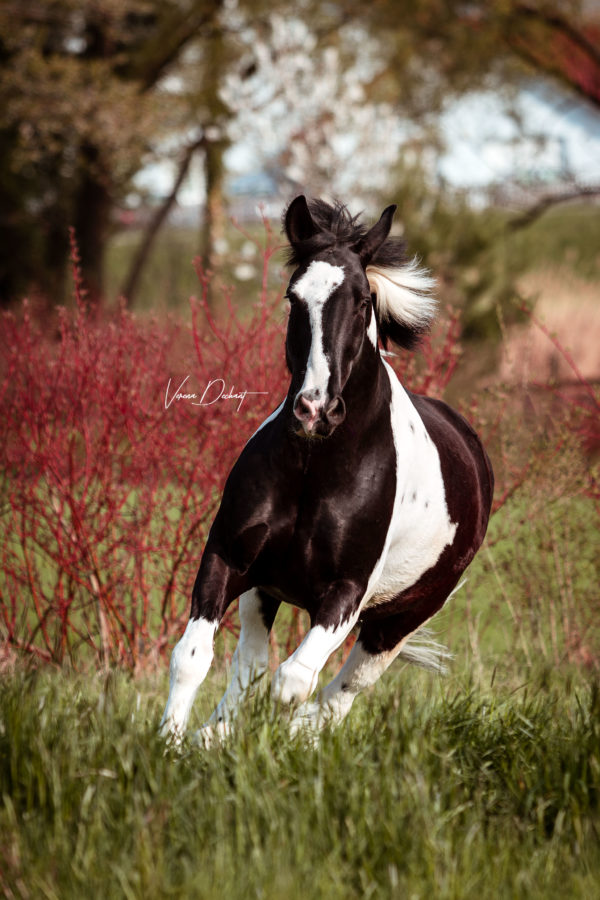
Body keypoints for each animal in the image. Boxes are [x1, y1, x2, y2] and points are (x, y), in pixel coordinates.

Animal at [159, 197, 492, 744]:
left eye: (362, 302)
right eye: (294, 299)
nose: (315, 409)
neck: (316, 469)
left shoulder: (345, 593)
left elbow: (293, 682)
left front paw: (273, 741)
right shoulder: (228, 559)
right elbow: (193, 657)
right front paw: (172, 744)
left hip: (396, 621)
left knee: (342, 691)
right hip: (265, 591)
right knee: (250, 663)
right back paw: (215, 736)